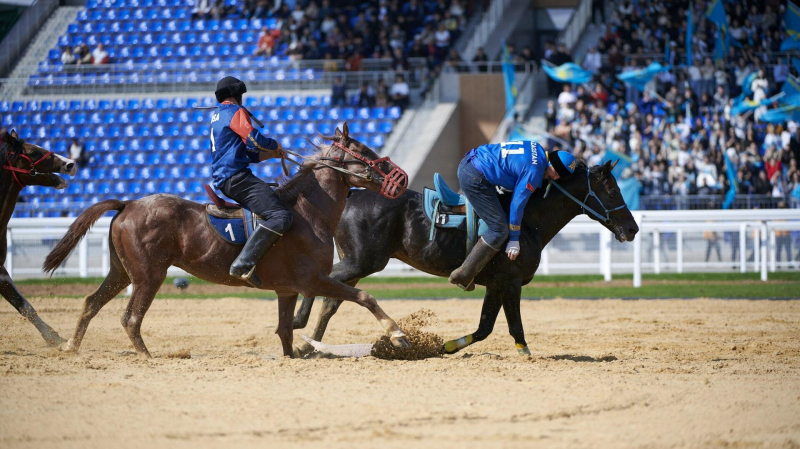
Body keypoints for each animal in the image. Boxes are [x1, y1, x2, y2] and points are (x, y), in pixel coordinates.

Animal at [42, 123, 412, 356]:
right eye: (365, 151)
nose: (402, 177)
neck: (310, 212)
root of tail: (129, 203)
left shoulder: (287, 290)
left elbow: (285, 332)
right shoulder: (314, 281)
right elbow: (364, 296)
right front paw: (397, 334)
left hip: (121, 272)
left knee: (91, 303)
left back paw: (70, 347)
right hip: (149, 276)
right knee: (130, 319)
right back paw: (147, 357)